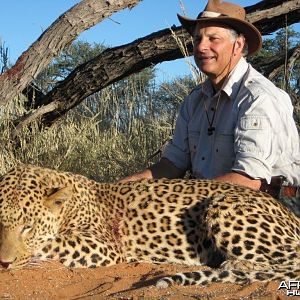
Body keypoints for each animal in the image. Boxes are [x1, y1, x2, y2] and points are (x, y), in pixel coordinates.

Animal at [0, 165, 298, 288]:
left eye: (28, 227)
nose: (3, 263)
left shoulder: (104, 245)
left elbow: (51, 242)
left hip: (224, 205)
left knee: (289, 262)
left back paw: (234, 264)